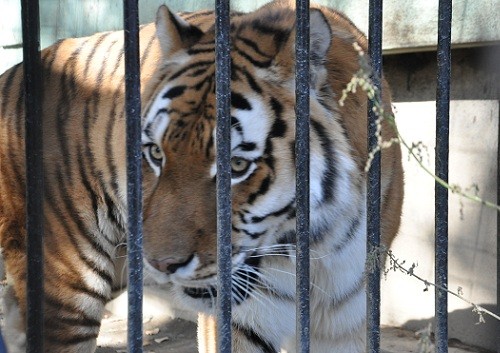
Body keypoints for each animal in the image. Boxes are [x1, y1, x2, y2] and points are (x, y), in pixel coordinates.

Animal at [0, 0, 402, 352]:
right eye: (156, 154)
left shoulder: (349, 317)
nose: (163, 265)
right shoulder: (241, 317)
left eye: (236, 166)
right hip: (67, 283)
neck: (318, 242)